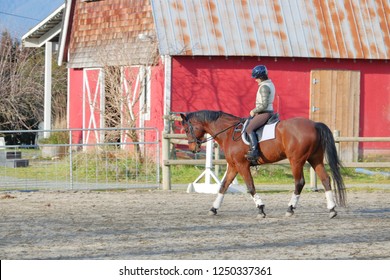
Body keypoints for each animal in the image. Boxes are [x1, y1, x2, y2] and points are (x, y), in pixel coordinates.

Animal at [181, 110, 348, 220]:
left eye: (187, 129)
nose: (193, 148)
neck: (228, 133)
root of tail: (315, 124)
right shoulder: (234, 166)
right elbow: (223, 186)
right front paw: (213, 209)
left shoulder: (242, 165)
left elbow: (250, 187)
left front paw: (261, 209)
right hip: (315, 159)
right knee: (326, 179)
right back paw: (332, 209)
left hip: (296, 160)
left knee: (299, 182)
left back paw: (290, 209)